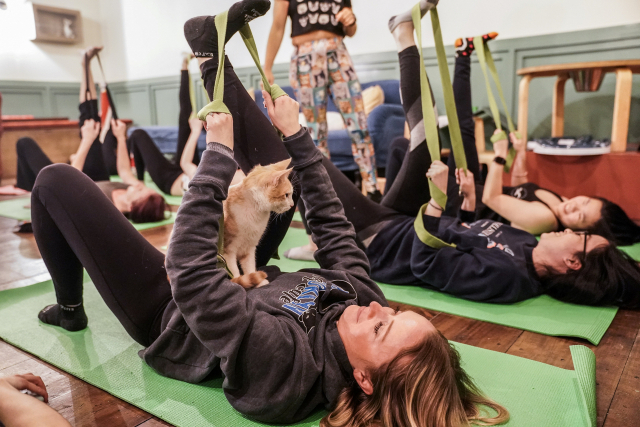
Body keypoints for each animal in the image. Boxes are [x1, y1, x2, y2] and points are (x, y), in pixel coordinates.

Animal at [224, 158, 294, 288]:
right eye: (286, 195)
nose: (292, 205)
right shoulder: (228, 252)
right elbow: (234, 271)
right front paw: (238, 283)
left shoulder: (249, 249)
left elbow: (250, 267)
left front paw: (258, 282)